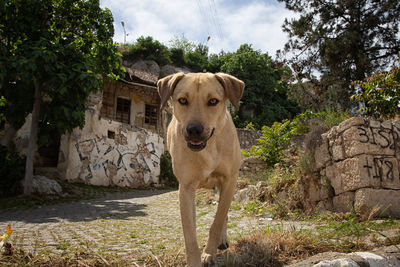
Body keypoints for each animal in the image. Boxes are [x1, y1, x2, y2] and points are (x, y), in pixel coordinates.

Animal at [157, 72, 244, 266]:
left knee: (223, 215)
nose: (194, 130)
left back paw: (222, 240)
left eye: (213, 101)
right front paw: (195, 259)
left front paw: (209, 253)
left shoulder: (229, 181)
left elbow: (217, 221)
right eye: (182, 100)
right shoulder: (186, 188)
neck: (208, 147)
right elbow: (190, 234)